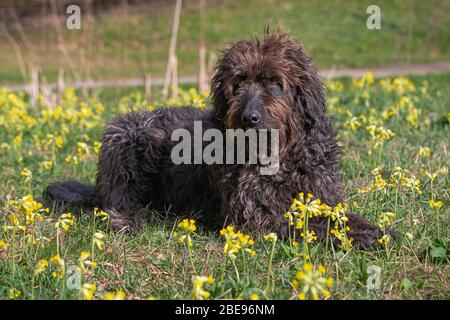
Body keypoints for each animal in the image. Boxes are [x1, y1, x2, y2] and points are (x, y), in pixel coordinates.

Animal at [45, 30, 382, 249]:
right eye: (239, 82)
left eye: (275, 82)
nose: (249, 118)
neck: (280, 156)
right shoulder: (256, 219)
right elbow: (313, 227)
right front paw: (363, 237)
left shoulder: (323, 199)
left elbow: (340, 219)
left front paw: (372, 229)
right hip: (128, 134)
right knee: (117, 202)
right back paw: (136, 217)